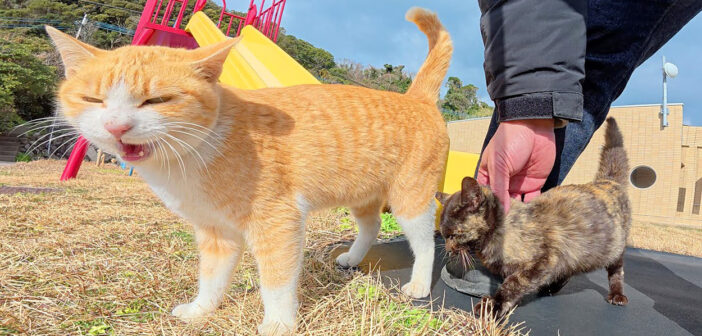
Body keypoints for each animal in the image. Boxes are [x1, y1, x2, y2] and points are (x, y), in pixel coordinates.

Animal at [49, 7, 454, 334]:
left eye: (157, 100)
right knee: (370, 226)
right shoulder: (215, 232)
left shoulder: (278, 221)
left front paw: (279, 324)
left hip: (410, 198)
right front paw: (201, 310)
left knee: (425, 242)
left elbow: (276, 282)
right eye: (93, 99)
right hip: (361, 194)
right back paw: (353, 258)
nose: (116, 126)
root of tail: (416, 98)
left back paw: (419, 285)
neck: (192, 156)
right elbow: (211, 278)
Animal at [440, 118, 632, 318]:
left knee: (617, 271)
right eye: (444, 235)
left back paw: (617, 295)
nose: (447, 249)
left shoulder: (543, 260)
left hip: (614, 248)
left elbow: (513, 283)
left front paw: (494, 304)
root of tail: (608, 181)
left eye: (453, 235)